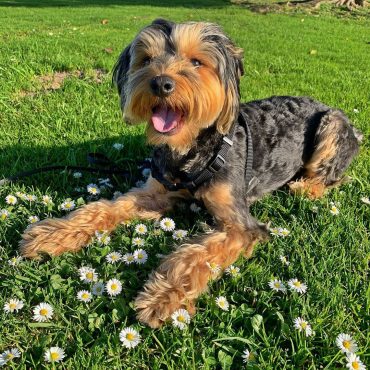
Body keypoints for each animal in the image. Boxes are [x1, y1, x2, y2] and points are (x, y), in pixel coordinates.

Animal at [19, 18, 362, 328]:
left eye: (197, 62)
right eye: (146, 59)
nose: (160, 83)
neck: (190, 151)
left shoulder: (241, 225)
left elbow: (198, 254)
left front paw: (162, 296)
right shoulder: (154, 192)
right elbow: (105, 207)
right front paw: (53, 234)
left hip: (332, 125)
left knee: (331, 177)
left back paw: (304, 186)